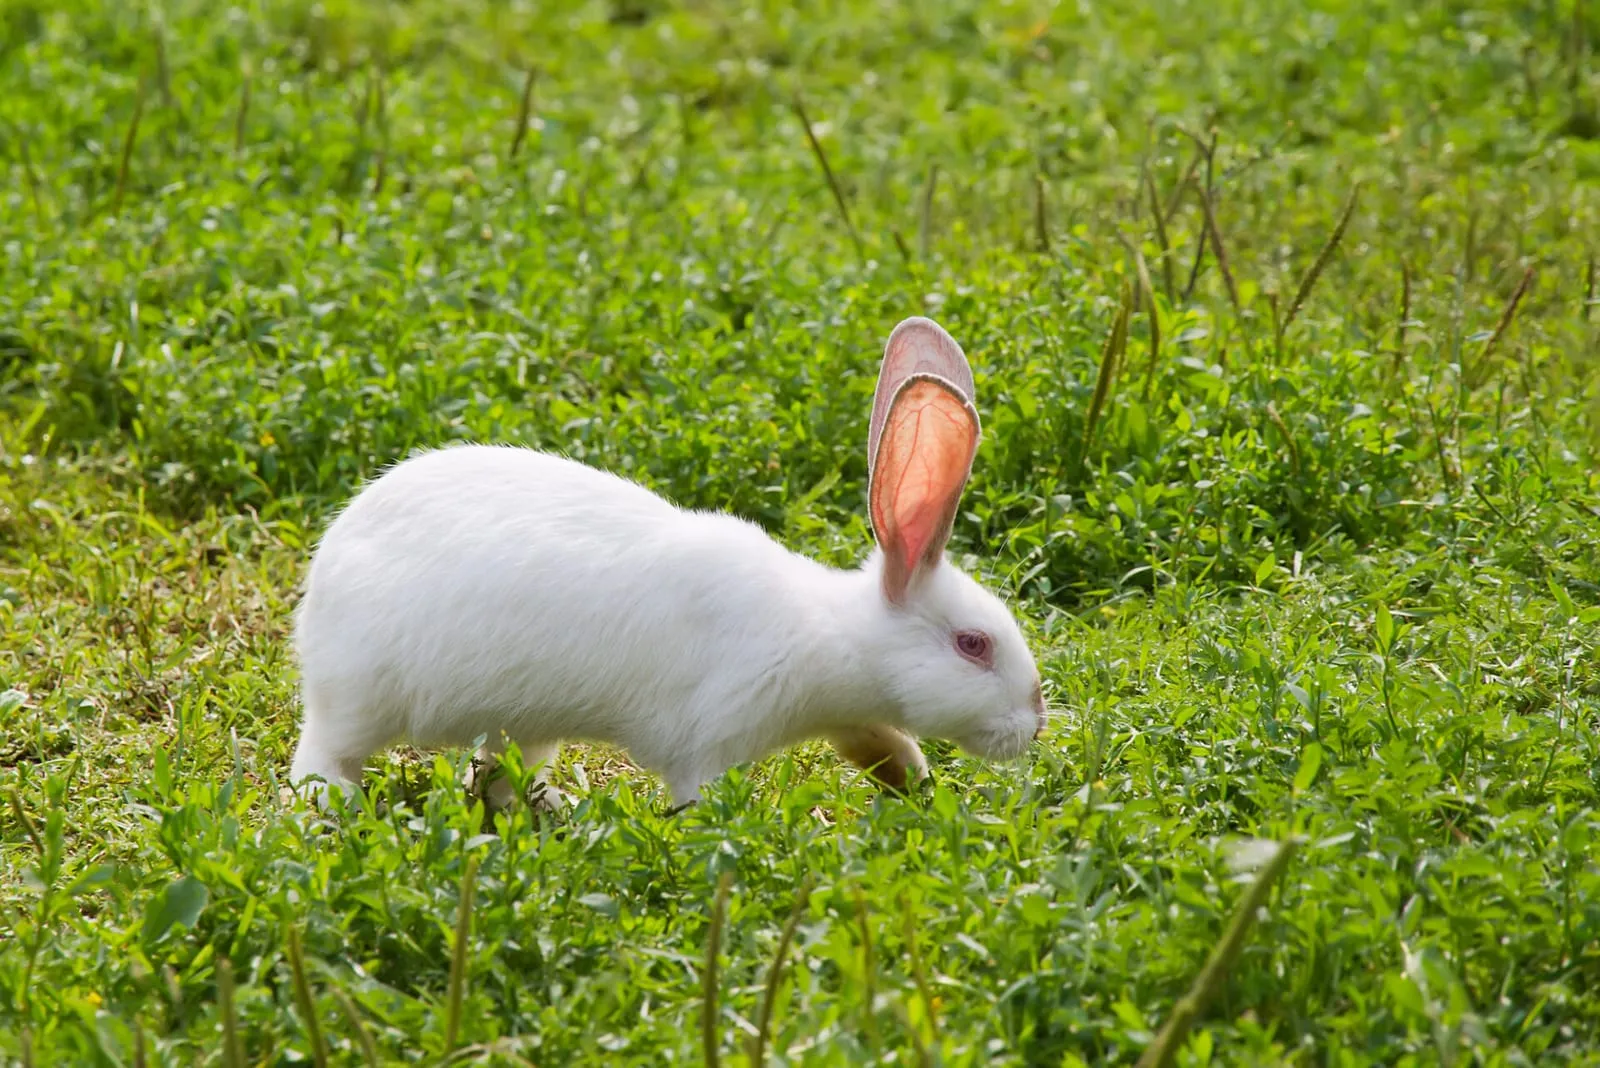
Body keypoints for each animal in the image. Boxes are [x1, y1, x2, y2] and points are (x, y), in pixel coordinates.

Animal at [289, 316, 1046, 810]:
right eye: (973, 645)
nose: (1035, 722)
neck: (832, 636)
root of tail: (319, 591)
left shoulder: (850, 718)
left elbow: (883, 741)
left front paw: (918, 783)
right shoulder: (708, 739)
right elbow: (701, 800)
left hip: (521, 726)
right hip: (360, 701)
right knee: (321, 759)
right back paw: (337, 810)